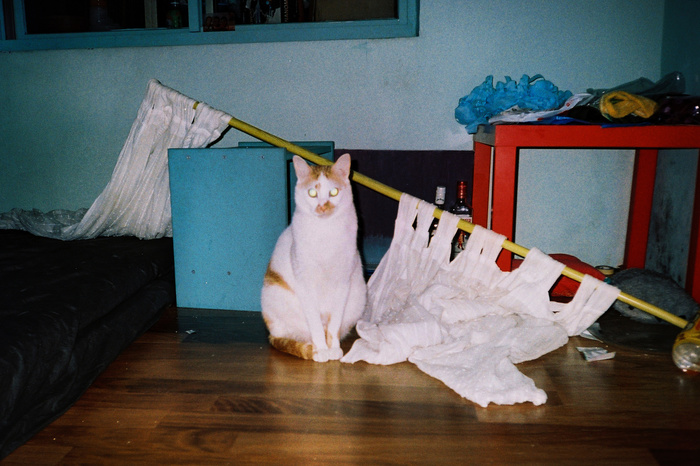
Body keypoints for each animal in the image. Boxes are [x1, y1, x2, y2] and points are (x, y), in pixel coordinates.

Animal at [258, 155, 366, 362]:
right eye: (312, 193)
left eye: (333, 191)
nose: (322, 206)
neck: (324, 231)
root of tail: (271, 334)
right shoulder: (305, 282)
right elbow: (315, 324)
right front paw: (322, 350)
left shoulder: (343, 283)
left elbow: (333, 325)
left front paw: (333, 348)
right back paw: (312, 349)